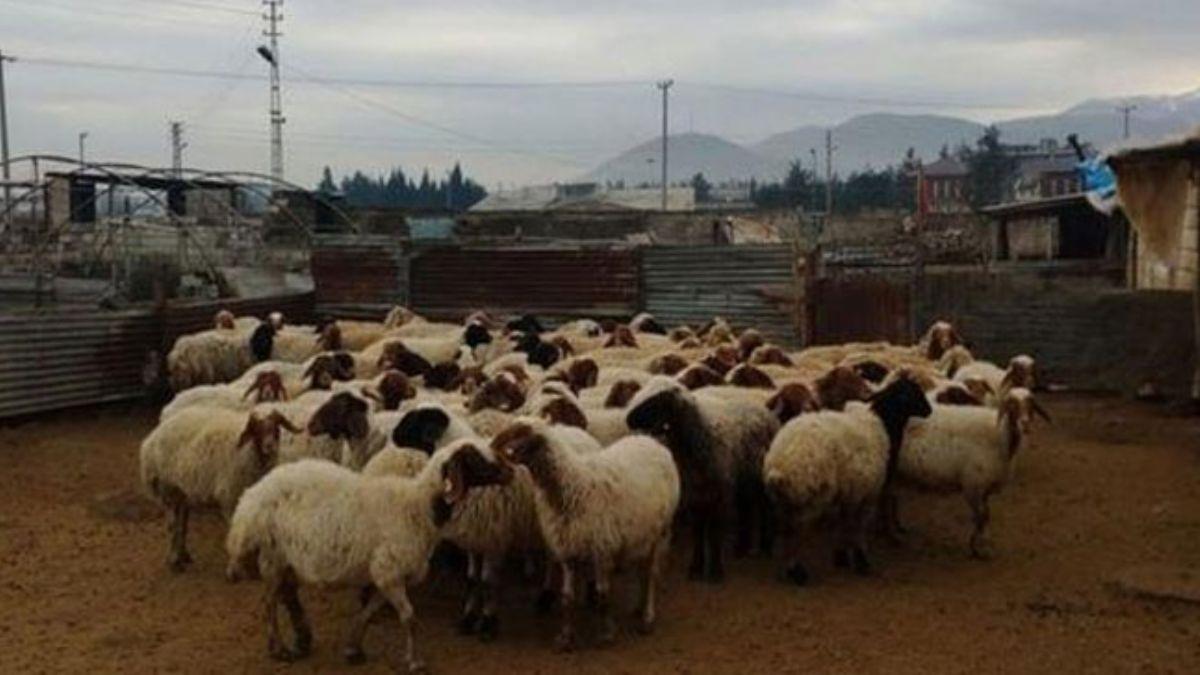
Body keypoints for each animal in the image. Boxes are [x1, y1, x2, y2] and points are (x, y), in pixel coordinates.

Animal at [223, 439, 513, 662]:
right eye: (474, 458)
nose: (510, 471)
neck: (418, 507)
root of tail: (249, 499)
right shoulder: (389, 571)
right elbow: (409, 618)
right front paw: (414, 660)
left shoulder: (387, 575)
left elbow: (369, 612)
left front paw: (354, 648)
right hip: (272, 554)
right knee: (269, 603)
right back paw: (278, 648)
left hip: (287, 559)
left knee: (287, 594)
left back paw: (302, 639)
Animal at [487, 417, 676, 648]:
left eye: (520, 434)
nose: (493, 450)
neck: (573, 486)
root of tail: (651, 441)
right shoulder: (568, 550)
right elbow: (567, 597)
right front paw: (565, 637)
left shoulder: (602, 550)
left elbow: (603, 595)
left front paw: (607, 634)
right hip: (643, 532)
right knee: (642, 572)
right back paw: (639, 607)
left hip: (661, 532)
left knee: (650, 575)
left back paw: (647, 617)